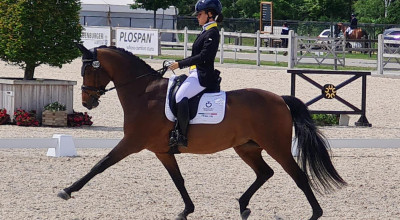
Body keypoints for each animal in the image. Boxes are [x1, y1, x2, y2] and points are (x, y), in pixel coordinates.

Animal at [57, 44, 346, 220]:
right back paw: (243, 206)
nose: (87, 103)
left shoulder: (131, 142)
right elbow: (178, 180)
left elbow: (100, 164)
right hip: (247, 147)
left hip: (276, 146)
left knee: (298, 175)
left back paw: (314, 213)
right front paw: (187, 210)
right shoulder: (162, 151)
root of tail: (279, 99)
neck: (143, 93)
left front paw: (68, 190)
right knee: (265, 173)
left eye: (87, 70)